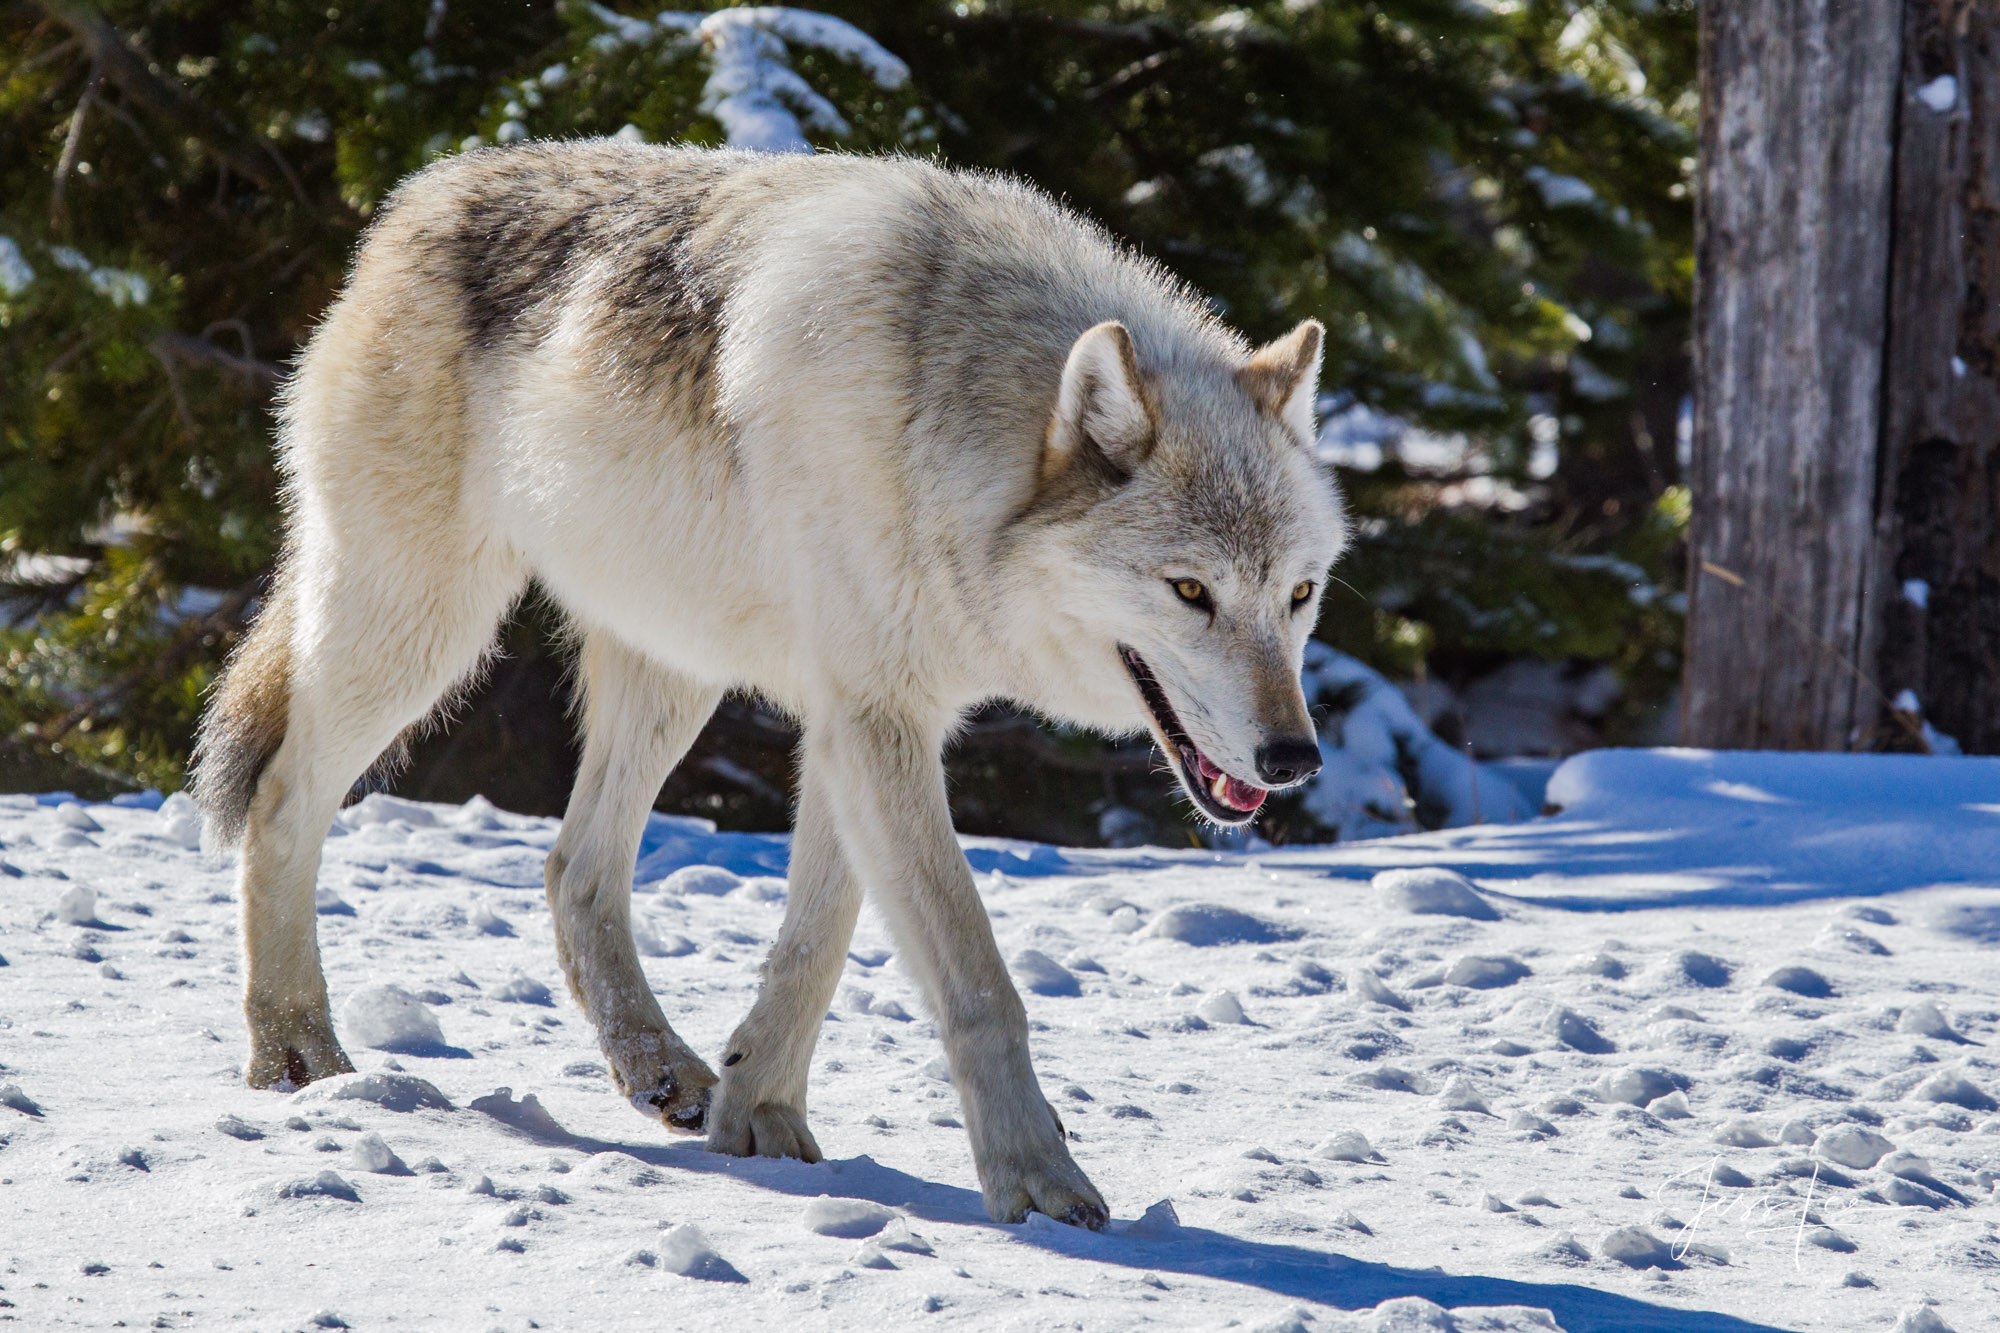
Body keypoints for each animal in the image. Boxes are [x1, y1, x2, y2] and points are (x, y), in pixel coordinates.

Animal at [195, 137, 1352, 1224]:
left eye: (1298, 595)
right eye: (1191, 591)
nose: (1295, 757)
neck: (940, 420)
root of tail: (416, 199)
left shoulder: (859, 719)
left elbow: (815, 944)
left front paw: (759, 1115)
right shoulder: (875, 722)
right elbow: (979, 980)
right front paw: (1037, 1182)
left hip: (670, 672)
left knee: (574, 867)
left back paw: (660, 1069)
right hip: (423, 631)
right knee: (282, 800)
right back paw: (299, 1055)